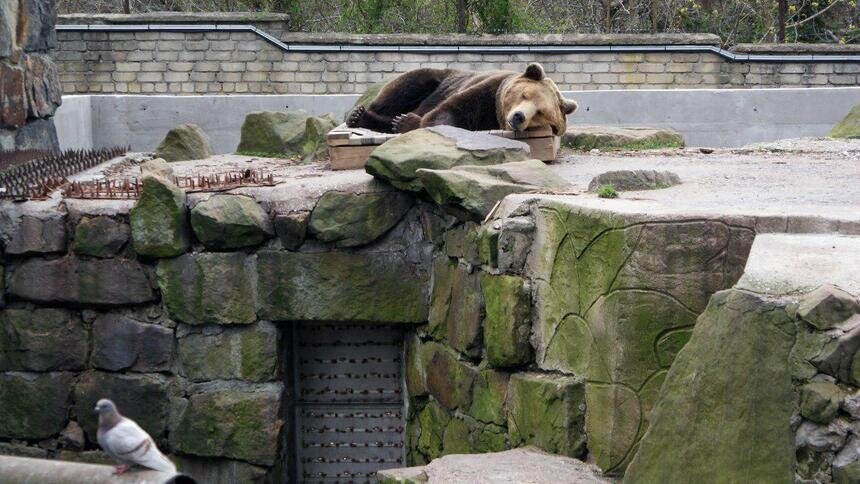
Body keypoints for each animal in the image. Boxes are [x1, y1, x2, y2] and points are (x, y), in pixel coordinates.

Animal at [346, 63, 577, 136]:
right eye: (524, 94)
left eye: (540, 113)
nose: (518, 116)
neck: (497, 115)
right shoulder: (489, 91)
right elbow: (454, 108)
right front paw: (409, 122)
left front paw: (405, 122)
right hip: (437, 78)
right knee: (403, 89)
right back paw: (358, 115)